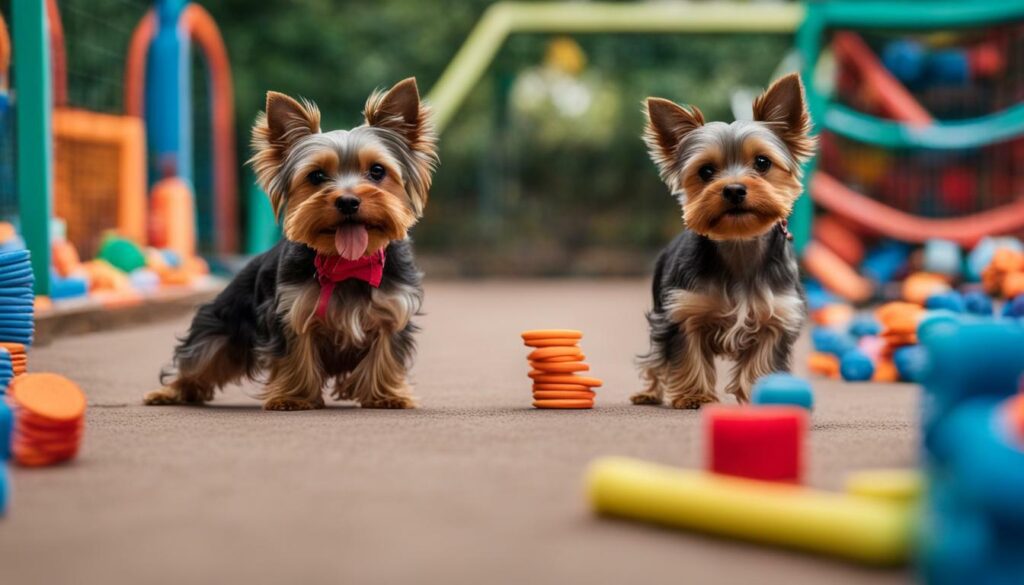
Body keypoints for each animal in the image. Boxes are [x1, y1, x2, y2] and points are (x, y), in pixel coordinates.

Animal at [143, 77, 436, 411]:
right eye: (316, 175)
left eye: (377, 171)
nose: (348, 201)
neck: (348, 263)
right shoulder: (290, 311)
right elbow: (296, 355)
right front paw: (292, 397)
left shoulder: (393, 310)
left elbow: (386, 354)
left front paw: (386, 395)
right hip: (222, 324)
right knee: (201, 355)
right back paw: (172, 392)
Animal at [630, 73, 815, 409]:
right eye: (706, 171)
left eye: (762, 162)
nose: (734, 189)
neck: (739, 243)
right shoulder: (681, 311)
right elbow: (686, 354)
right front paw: (693, 395)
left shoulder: (777, 317)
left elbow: (762, 360)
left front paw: (756, 392)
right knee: (655, 359)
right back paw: (648, 393)